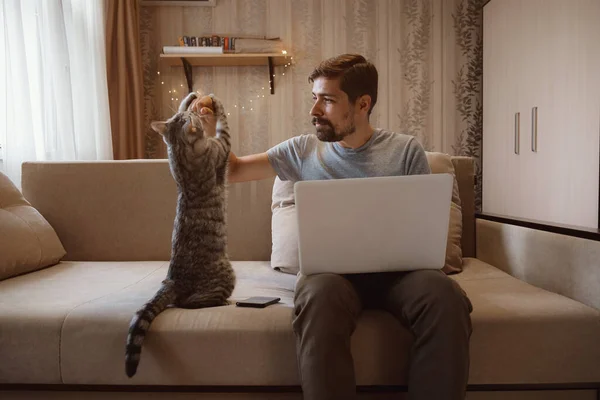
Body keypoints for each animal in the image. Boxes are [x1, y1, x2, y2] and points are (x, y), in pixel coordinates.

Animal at [125, 93, 237, 378]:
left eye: (184, 117)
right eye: (193, 119)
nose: (198, 112)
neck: (179, 149)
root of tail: (172, 280)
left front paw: (190, 98)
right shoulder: (222, 146)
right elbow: (224, 125)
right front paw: (215, 105)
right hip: (226, 273)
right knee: (188, 304)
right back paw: (223, 303)